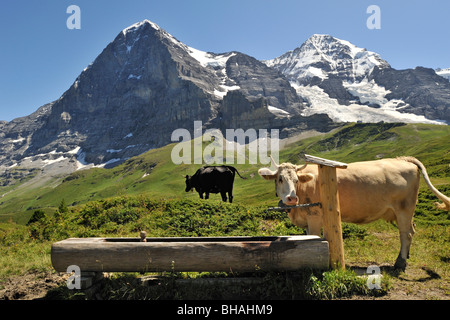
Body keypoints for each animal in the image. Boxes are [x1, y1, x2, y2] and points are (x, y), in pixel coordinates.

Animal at [258, 156, 448, 268]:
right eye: (280, 179)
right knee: (411, 229)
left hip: (404, 207)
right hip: (401, 211)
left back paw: (400, 262)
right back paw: (406, 256)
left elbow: (315, 237)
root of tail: (404, 160)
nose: (292, 198)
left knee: (406, 233)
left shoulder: (314, 216)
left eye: (296, 180)